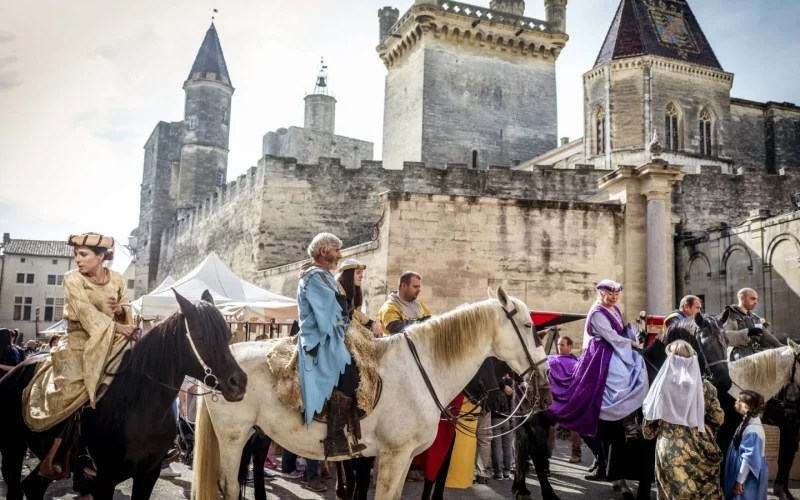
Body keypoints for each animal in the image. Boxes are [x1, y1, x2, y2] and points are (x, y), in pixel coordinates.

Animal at [0, 290, 247, 500]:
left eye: (228, 334)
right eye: (200, 336)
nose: (239, 382)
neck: (139, 405)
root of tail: (13, 373)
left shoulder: (148, 472)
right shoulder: (105, 475)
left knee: (31, 487)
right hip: (13, 446)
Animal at [190, 288, 552, 498]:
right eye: (530, 327)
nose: (544, 386)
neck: (419, 371)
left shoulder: (403, 457)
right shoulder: (393, 455)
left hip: (255, 432)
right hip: (233, 435)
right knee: (228, 485)